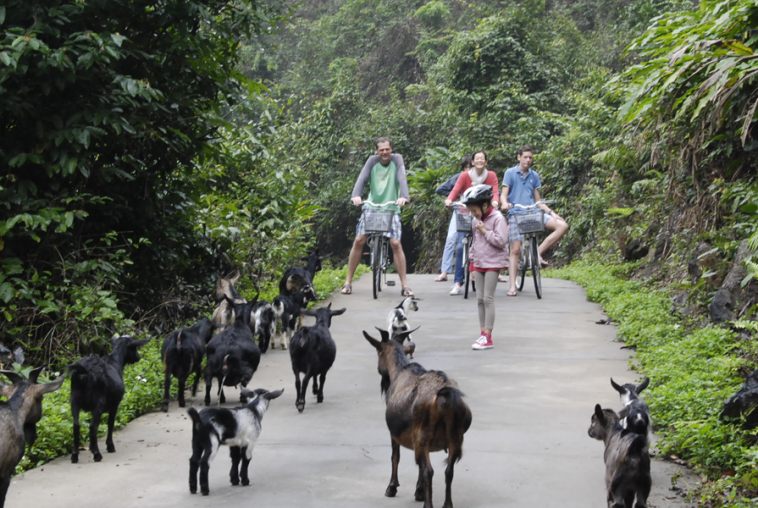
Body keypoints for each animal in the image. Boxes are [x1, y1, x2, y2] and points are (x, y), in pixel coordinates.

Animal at [366, 328, 472, 506]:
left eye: (378, 352)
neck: (398, 370)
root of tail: (445, 397)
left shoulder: (395, 433)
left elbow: (395, 457)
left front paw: (392, 488)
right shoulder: (419, 442)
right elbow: (419, 467)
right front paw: (419, 491)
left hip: (423, 435)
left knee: (429, 471)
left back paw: (428, 505)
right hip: (455, 438)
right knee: (448, 470)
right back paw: (447, 504)